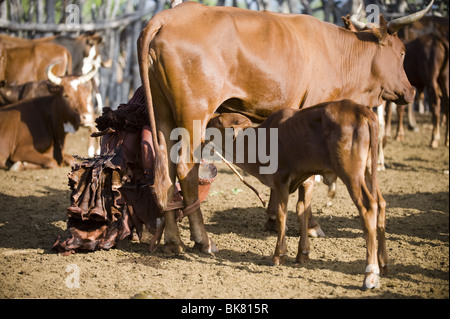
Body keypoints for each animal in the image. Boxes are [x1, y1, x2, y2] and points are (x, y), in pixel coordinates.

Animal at [138, 0, 432, 255]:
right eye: (402, 53)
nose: (411, 91)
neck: (338, 53)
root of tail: (167, 17)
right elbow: (309, 177)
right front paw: (311, 226)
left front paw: (272, 217)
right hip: (194, 114)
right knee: (186, 168)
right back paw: (203, 240)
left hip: (164, 116)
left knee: (166, 170)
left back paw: (173, 240)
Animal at [207, 100, 386, 290]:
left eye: (219, 120)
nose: (209, 117)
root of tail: (361, 111)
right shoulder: (306, 180)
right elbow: (302, 210)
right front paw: (303, 253)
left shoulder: (281, 180)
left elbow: (282, 213)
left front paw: (279, 255)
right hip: (368, 170)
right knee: (381, 203)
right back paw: (383, 264)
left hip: (351, 173)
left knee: (369, 208)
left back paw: (371, 275)